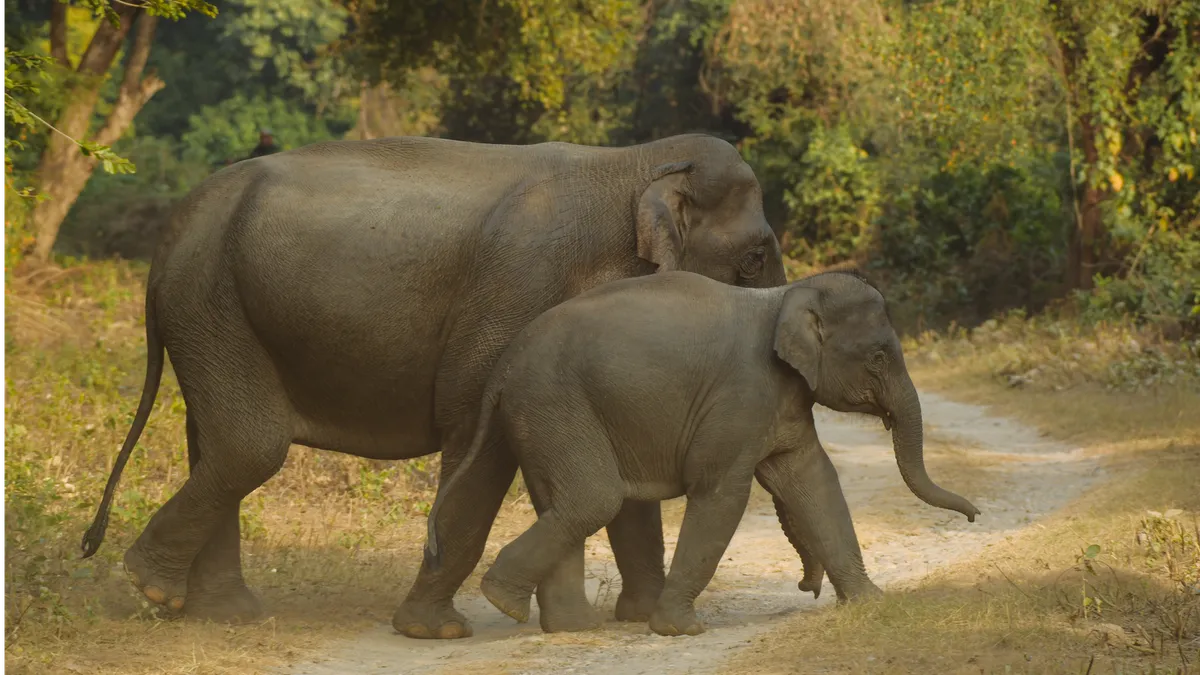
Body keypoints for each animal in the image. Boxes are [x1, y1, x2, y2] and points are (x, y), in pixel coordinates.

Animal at [78, 133, 788, 638]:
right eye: (754, 258)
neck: (635, 162)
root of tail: (173, 227)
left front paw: (631, 618)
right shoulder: (516, 294)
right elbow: (478, 435)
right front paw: (436, 632)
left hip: (216, 313)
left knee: (216, 441)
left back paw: (218, 611)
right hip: (210, 302)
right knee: (250, 445)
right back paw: (153, 585)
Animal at [426, 269, 981, 636]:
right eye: (879, 357)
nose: (976, 516)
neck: (787, 295)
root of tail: (503, 366)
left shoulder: (780, 399)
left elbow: (813, 480)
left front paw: (869, 604)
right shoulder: (742, 394)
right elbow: (722, 493)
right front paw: (678, 630)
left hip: (541, 415)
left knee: (562, 502)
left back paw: (560, 625)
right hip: (553, 403)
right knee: (592, 499)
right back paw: (505, 601)